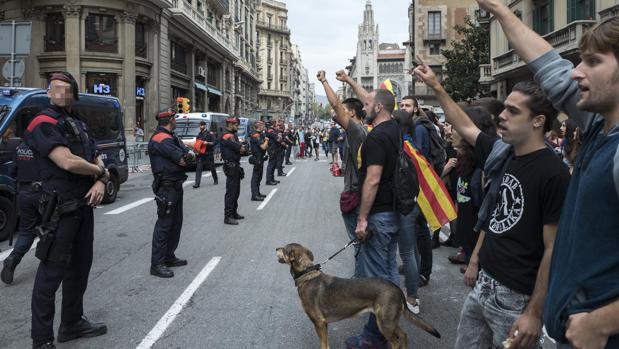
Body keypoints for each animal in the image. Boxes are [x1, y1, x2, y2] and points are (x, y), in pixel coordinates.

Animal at [276, 242, 440, 348]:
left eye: (283, 249)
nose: (276, 248)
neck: (306, 274)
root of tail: (397, 289)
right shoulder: (324, 324)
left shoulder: (320, 323)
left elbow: (324, 345)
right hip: (389, 320)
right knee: (404, 335)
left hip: (385, 323)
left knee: (396, 341)